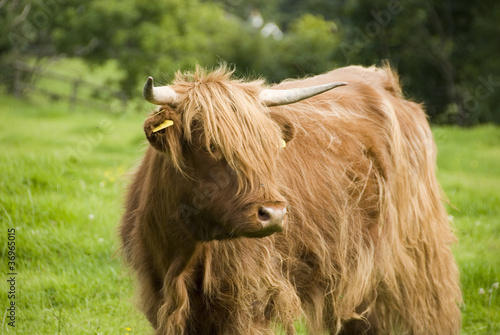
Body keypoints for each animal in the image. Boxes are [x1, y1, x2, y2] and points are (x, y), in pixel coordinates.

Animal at [119, 64, 462, 334]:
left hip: (417, 253)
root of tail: (384, 81)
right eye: (209, 145)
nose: (273, 213)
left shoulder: (246, 304)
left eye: (269, 147)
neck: (183, 251)